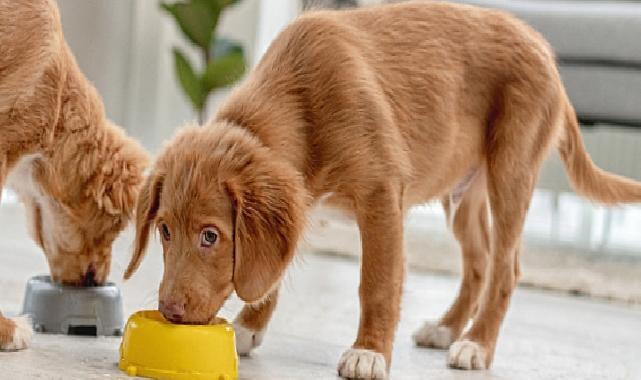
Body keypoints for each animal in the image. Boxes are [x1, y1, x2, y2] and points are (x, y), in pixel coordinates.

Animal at [124, 2, 640, 378]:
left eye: (210, 236)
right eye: (164, 231)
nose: (168, 310)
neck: (300, 102)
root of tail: (543, 48)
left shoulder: (381, 196)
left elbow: (377, 283)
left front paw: (368, 353)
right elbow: (273, 268)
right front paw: (251, 327)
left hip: (511, 171)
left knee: (505, 268)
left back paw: (475, 344)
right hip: (462, 194)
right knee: (478, 262)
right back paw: (446, 328)